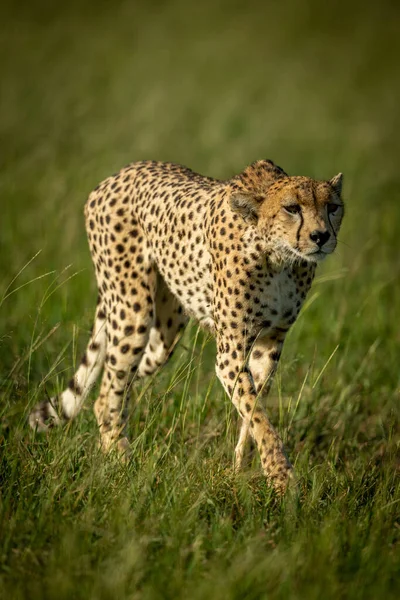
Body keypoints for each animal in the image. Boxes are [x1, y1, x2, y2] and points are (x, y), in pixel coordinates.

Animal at [30, 159, 344, 492]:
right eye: (292, 208)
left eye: (333, 207)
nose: (321, 236)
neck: (280, 256)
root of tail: (121, 172)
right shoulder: (230, 353)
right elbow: (256, 413)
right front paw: (281, 478)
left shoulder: (269, 343)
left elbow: (253, 408)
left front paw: (242, 470)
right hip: (132, 311)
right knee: (106, 394)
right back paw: (121, 462)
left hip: (164, 335)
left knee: (116, 385)